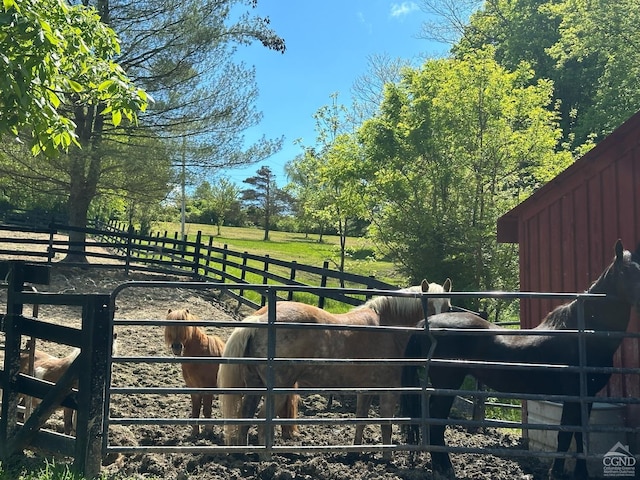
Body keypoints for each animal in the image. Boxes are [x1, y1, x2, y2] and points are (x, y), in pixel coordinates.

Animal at [166, 308, 302, 438]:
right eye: (170, 327)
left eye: (185, 328)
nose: (177, 347)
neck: (200, 354)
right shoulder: (194, 390)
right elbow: (195, 411)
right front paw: (195, 433)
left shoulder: (207, 389)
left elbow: (207, 410)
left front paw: (208, 431)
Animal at [218, 278, 452, 450]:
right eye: (427, 307)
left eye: (448, 306)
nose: (442, 332)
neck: (388, 327)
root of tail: (259, 318)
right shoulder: (388, 391)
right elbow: (386, 425)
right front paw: (387, 458)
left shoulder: (366, 390)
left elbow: (361, 419)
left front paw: (354, 452)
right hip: (279, 389)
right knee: (261, 420)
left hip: (255, 384)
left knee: (245, 416)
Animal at [400, 240, 640, 480]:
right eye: (625, 271)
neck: (583, 335)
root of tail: (427, 323)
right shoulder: (572, 395)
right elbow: (565, 435)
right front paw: (556, 473)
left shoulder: (586, 396)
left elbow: (581, 436)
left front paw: (582, 473)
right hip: (448, 382)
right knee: (436, 420)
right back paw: (444, 468)